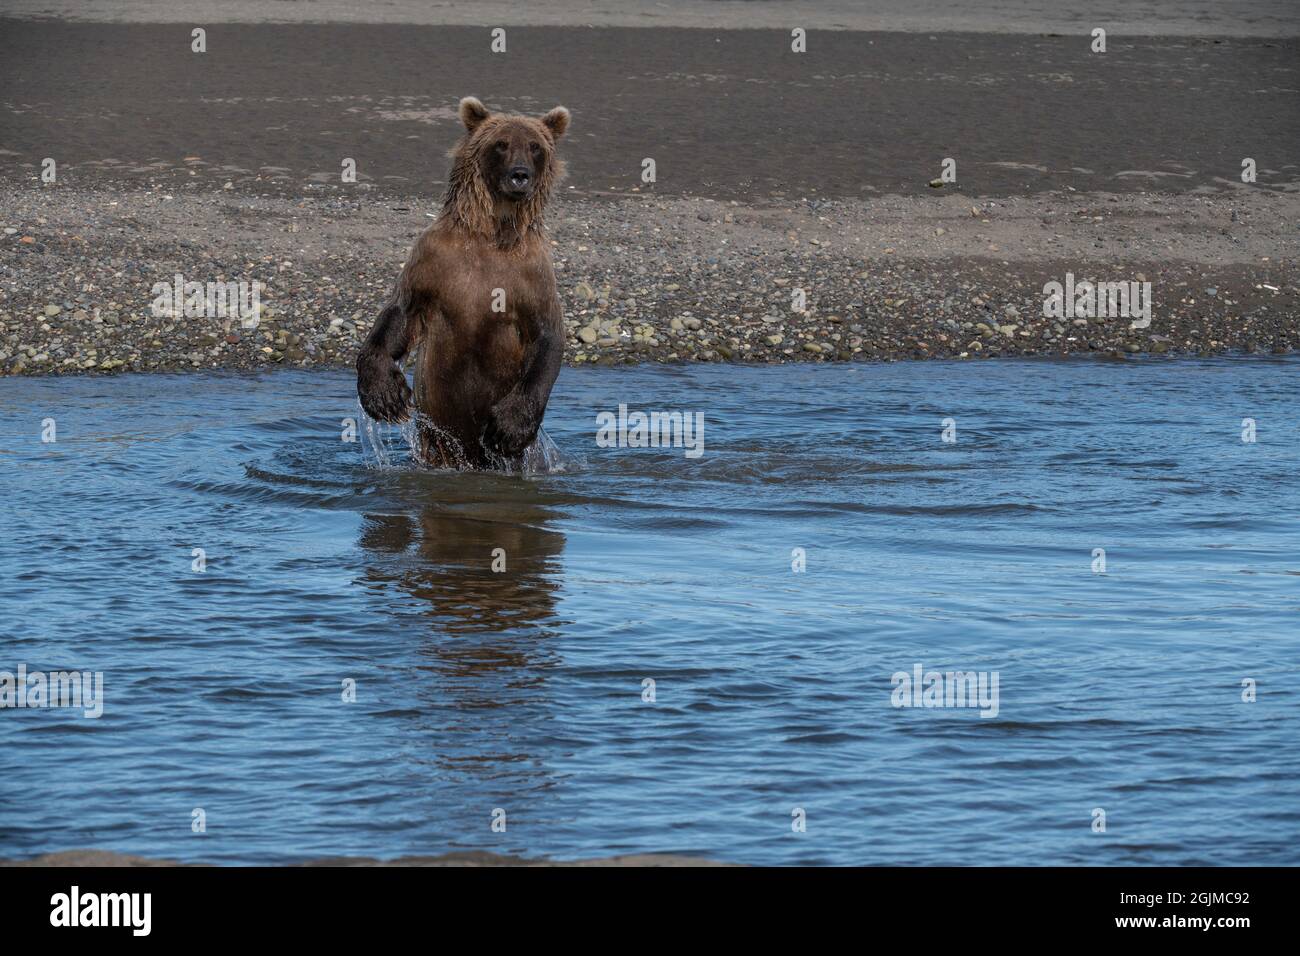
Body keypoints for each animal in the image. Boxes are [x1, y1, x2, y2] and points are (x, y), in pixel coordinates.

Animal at [361, 97, 574, 470]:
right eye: (501, 144)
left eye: (535, 146)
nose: (520, 175)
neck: (492, 232)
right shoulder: (434, 259)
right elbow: (401, 312)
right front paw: (384, 395)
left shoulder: (533, 275)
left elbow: (547, 334)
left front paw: (509, 427)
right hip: (436, 443)